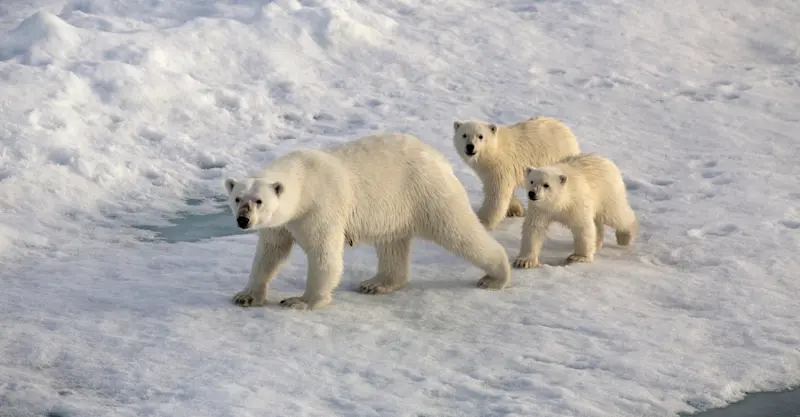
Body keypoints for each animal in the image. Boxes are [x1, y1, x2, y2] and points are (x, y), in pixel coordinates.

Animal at [224, 133, 512, 310]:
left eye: (259, 200)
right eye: (238, 198)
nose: (243, 220)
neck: (304, 179)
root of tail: (438, 158)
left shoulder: (320, 207)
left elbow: (324, 253)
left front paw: (301, 301)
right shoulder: (280, 224)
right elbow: (270, 253)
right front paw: (246, 296)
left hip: (427, 191)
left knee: (459, 231)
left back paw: (495, 276)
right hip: (396, 206)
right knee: (392, 243)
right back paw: (376, 283)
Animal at [452, 116, 581, 230]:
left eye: (480, 136)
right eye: (464, 135)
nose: (470, 146)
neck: (494, 152)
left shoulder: (501, 167)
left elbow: (497, 194)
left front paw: (483, 221)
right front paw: (516, 210)